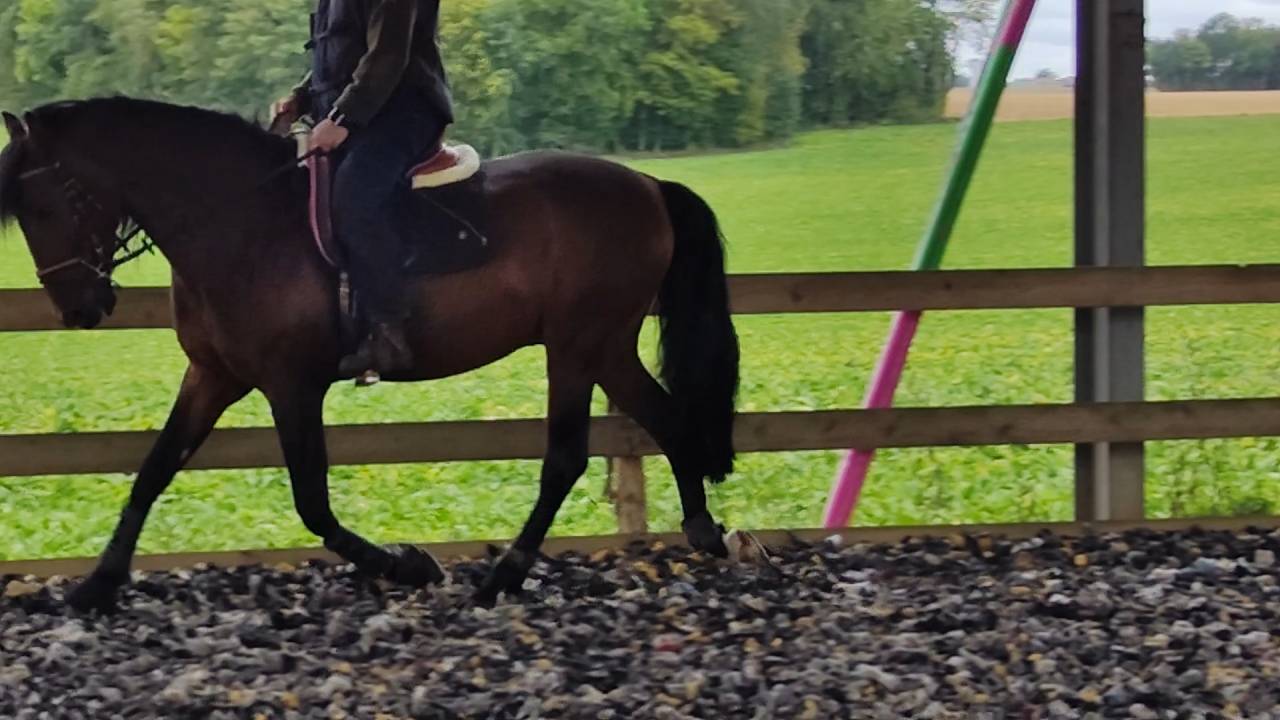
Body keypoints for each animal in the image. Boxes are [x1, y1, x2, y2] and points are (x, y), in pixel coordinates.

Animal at [0, 97, 740, 612]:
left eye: (42, 205)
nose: (79, 309)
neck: (242, 222)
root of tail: (648, 185)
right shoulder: (213, 374)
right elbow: (153, 471)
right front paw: (97, 586)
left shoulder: (291, 384)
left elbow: (312, 503)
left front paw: (408, 565)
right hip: (606, 345)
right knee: (667, 420)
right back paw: (704, 532)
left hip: (577, 346)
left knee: (564, 457)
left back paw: (503, 575)